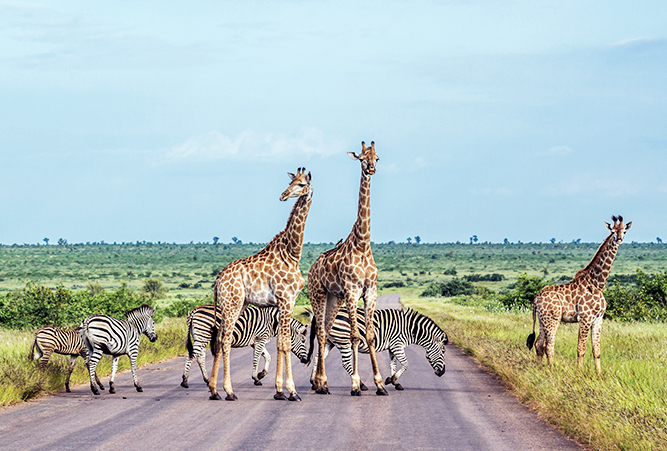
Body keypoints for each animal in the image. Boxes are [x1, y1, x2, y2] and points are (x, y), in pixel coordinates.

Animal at [180, 306, 310, 390]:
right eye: (304, 341)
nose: (306, 361)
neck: (272, 322)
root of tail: (194, 311)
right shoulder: (260, 339)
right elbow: (257, 358)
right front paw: (256, 378)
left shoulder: (255, 341)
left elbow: (268, 356)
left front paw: (261, 374)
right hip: (203, 335)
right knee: (191, 356)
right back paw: (185, 381)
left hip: (200, 336)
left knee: (199, 358)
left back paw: (207, 380)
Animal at [209, 169, 314, 402]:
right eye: (291, 182)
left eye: (301, 184)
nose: (284, 195)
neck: (292, 254)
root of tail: (218, 280)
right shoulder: (286, 299)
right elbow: (284, 343)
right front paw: (291, 391)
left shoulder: (284, 302)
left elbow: (280, 343)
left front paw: (279, 391)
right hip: (231, 303)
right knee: (225, 339)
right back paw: (229, 391)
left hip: (239, 305)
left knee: (219, 337)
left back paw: (213, 390)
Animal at [306, 140, 386, 396]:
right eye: (362, 158)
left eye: (376, 158)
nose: (371, 169)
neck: (362, 244)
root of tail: (311, 268)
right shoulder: (352, 291)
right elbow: (354, 336)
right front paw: (355, 385)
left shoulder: (370, 291)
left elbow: (369, 336)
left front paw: (380, 384)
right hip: (319, 294)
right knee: (321, 333)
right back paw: (322, 382)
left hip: (334, 298)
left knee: (325, 331)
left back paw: (320, 382)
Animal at [308, 308, 448, 390]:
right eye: (443, 352)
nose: (442, 373)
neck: (410, 330)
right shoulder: (397, 345)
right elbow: (406, 364)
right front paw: (392, 380)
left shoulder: (392, 347)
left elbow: (393, 365)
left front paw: (394, 381)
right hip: (344, 341)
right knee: (346, 363)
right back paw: (361, 384)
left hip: (329, 341)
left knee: (317, 357)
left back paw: (314, 383)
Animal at [528, 215, 636, 374]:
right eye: (612, 231)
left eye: (624, 231)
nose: (619, 239)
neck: (598, 283)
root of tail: (536, 298)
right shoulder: (585, 318)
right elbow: (581, 348)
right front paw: (578, 372)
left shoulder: (598, 319)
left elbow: (596, 350)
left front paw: (598, 374)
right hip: (553, 319)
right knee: (549, 345)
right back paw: (552, 369)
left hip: (543, 320)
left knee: (539, 344)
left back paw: (539, 368)